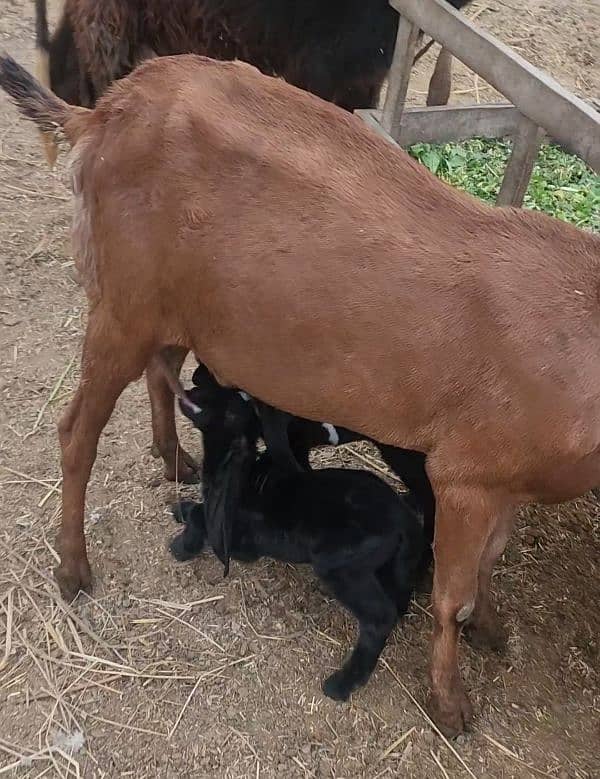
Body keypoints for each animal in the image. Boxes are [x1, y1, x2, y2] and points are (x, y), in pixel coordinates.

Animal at [1, 54, 600, 736]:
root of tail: (104, 111)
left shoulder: (508, 478)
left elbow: (490, 562)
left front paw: (494, 631)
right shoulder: (464, 473)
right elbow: (454, 593)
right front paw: (450, 702)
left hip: (176, 308)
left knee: (164, 371)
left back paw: (175, 461)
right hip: (121, 305)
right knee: (77, 431)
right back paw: (73, 568)